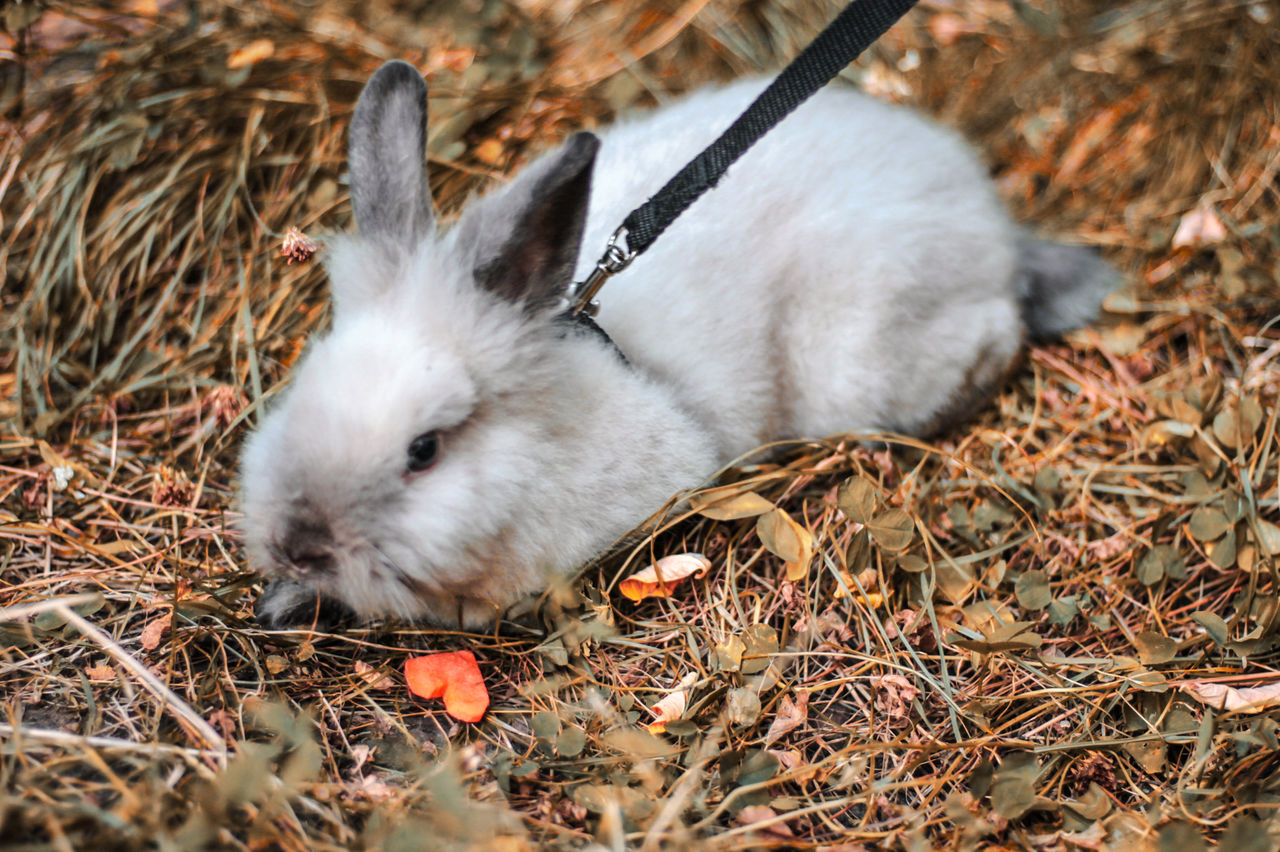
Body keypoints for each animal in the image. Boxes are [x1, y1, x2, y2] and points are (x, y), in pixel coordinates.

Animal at [238, 59, 1111, 626]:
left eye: (424, 451)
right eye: (304, 390)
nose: (298, 544)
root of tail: (990, 222)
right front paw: (285, 599)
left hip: (862, 363)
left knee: (996, 334)